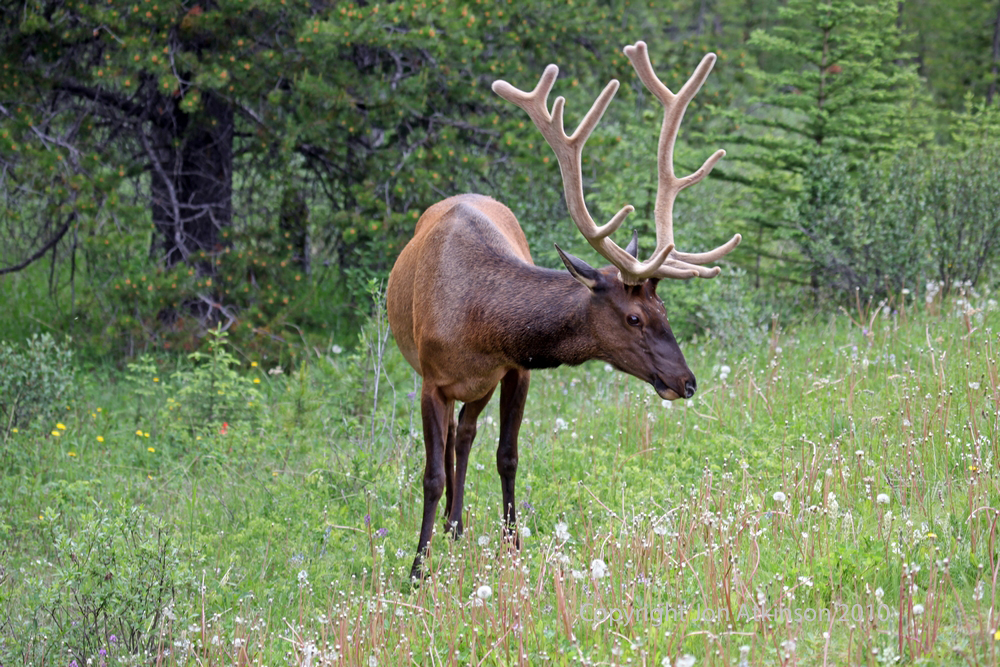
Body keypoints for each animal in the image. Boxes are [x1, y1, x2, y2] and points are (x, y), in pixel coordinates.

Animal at [386, 41, 741, 579]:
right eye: (634, 317)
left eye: (663, 308)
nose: (687, 382)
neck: (478, 327)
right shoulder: (431, 380)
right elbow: (429, 475)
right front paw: (417, 570)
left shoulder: (515, 370)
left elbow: (507, 456)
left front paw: (512, 549)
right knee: (450, 441)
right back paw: (448, 526)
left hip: (480, 389)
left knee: (465, 434)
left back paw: (457, 525)